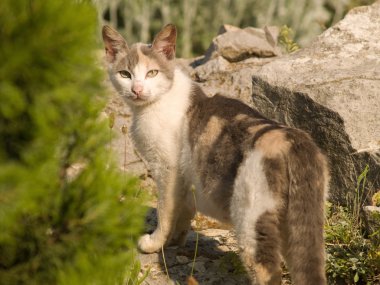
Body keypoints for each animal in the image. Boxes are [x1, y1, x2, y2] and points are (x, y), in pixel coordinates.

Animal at [101, 23, 330, 282]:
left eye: (152, 73)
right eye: (125, 74)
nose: (137, 90)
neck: (154, 105)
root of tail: (293, 140)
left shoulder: (167, 169)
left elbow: (165, 210)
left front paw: (154, 242)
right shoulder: (185, 180)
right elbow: (183, 211)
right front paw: (175, 241)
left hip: (251, 220)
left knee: (266, 271)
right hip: (303, 225)